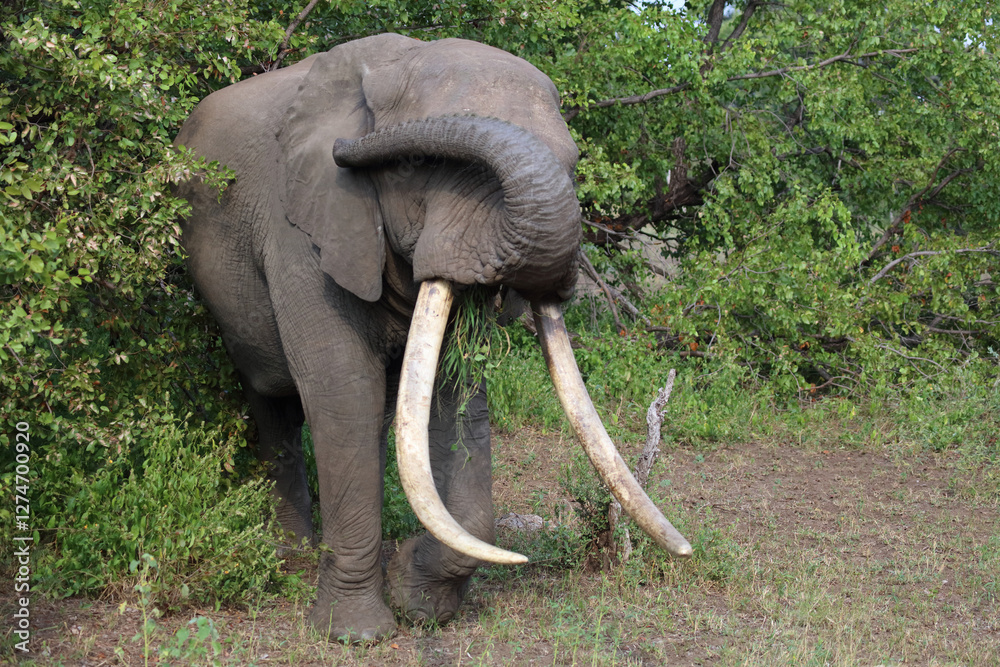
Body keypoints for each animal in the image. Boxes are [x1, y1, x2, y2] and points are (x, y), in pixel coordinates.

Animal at [174, 33, 691, 642]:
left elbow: (455, 393)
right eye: (415, 165)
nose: (350, 149)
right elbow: (343, 389)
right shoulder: (303, 229)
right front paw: (355, 636)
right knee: (273, 401)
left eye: (572, 163)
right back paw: (293, 557)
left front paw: (419, 603)